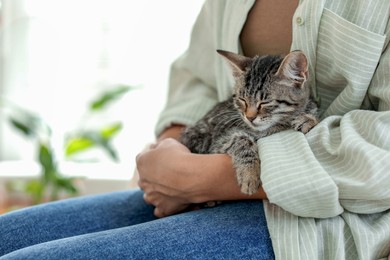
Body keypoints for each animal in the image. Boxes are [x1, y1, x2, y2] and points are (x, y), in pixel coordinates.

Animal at [178, 49, 318, 194]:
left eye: (265, 102)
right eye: (242, 100)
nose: (249, 117)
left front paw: (308, 119)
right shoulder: (215, 143)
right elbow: (242, 140)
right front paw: (249, 174)